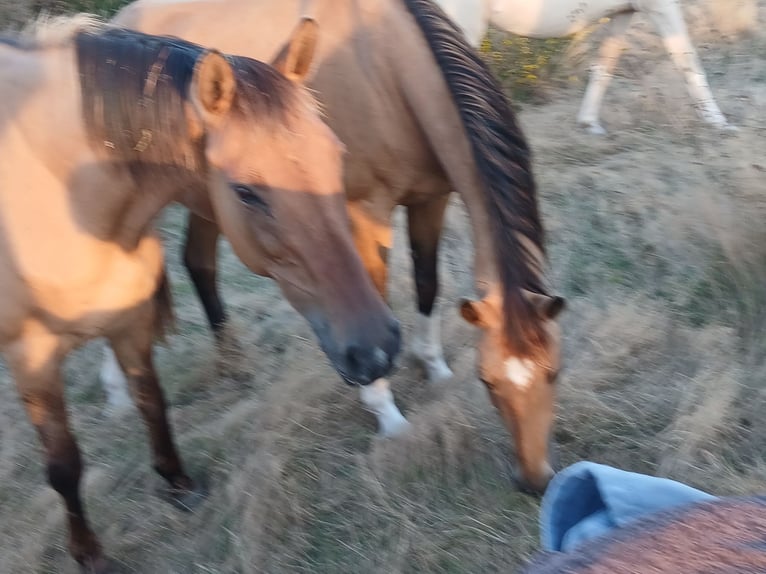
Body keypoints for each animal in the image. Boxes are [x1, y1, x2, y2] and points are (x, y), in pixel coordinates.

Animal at [1, 16, 402, 572]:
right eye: (246, 192)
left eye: (337, 157)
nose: (376, 349)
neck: (61, 197)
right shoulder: (32, 359)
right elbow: (63, 465)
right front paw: (89, 554)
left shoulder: (129, 322)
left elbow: (153, 402)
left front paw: (178, 483)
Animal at [115, 0, 568, 496]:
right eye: (488, 381)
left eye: (554, 371)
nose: (534, 479)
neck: (392, 69)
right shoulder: (365, 213)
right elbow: (375, 301)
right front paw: (385, 410)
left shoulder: (431, 198)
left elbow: (427, 283)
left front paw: (434, 368)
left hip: (212, 199)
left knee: (198, 262)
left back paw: (234, 363)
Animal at [436, 0, 736, 134]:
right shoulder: (660, 5)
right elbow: (687, 60)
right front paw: (719, 122)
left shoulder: (624, 11)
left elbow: (604, 66)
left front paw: (590, 124)